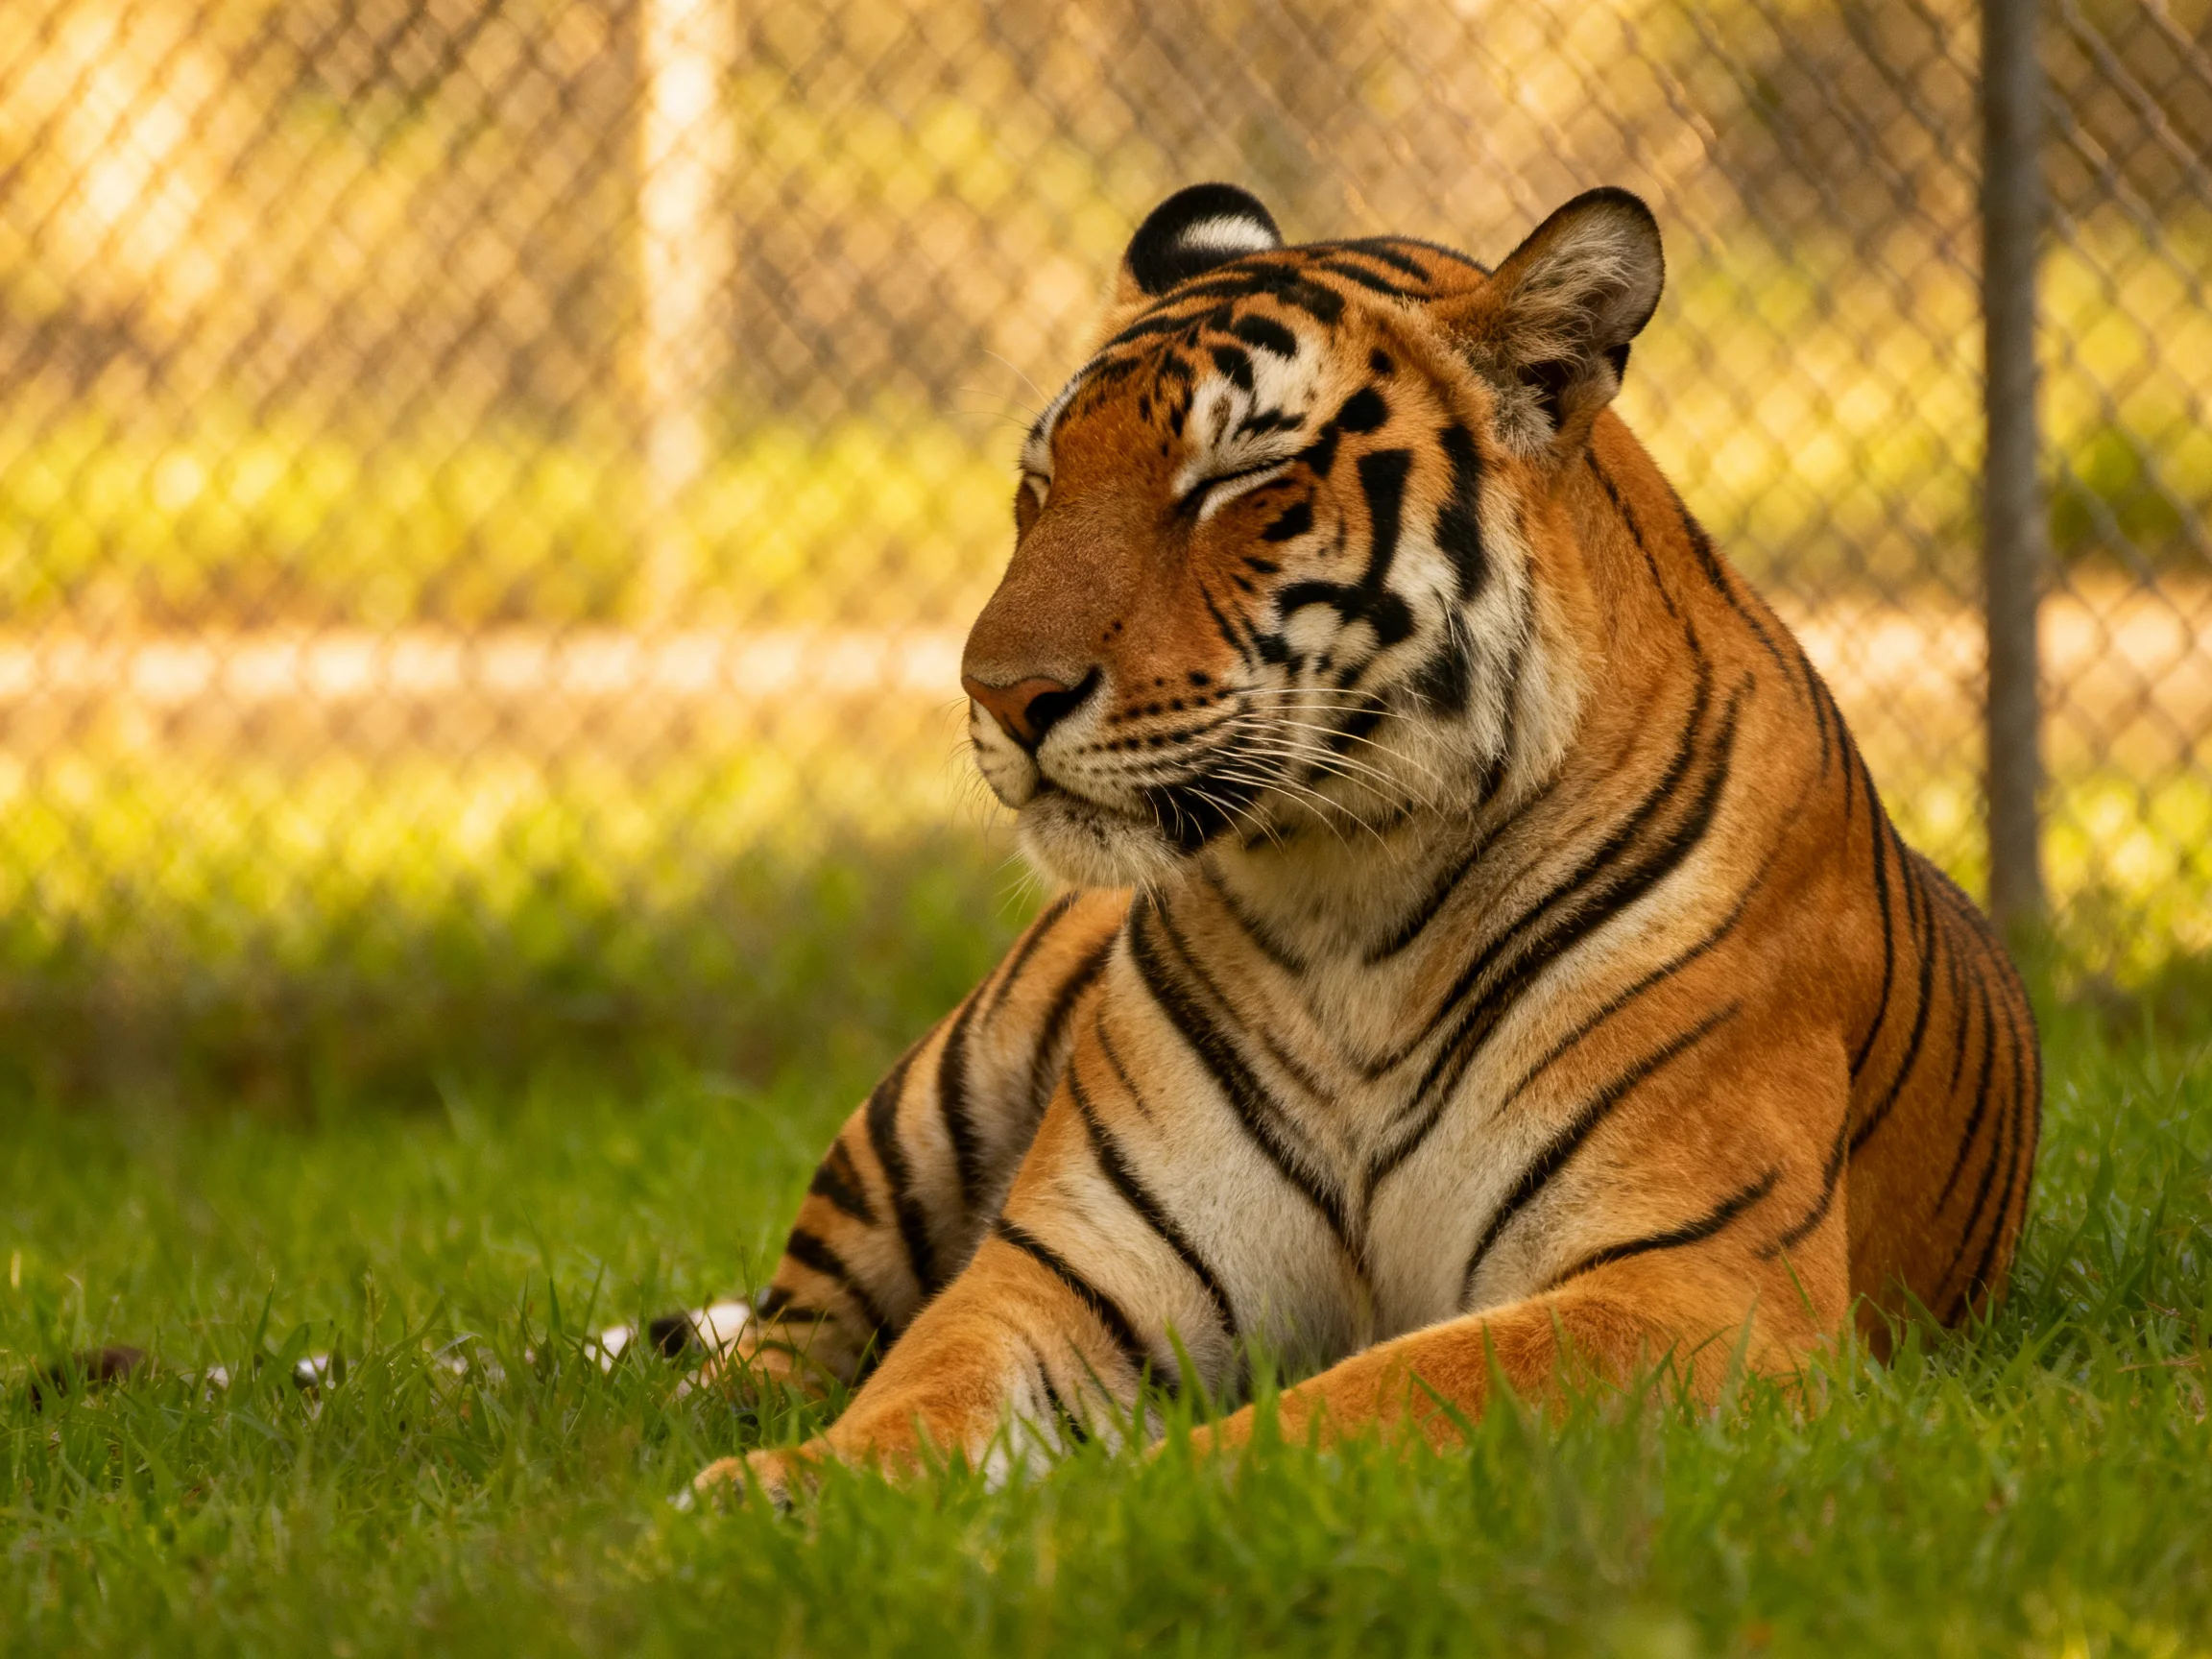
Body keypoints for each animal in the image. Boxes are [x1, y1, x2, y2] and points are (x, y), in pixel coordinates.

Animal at [693, 182, 2041, 1503]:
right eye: (1040, 488)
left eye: (1235, 482)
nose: (1000, 693)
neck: (1348, 896)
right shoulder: (1076, 1263)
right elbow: (926, 1383)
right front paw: (783, 1499)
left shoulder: (1692, 1279)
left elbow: (1357, 1404)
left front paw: (1123, 1502)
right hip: (931, 1100)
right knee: (790, 1332)